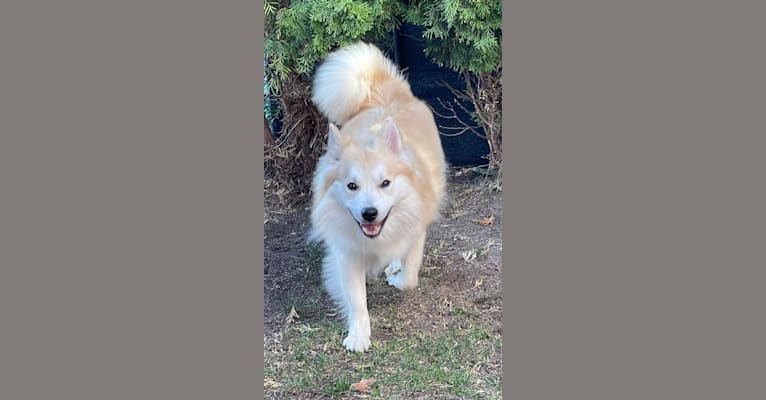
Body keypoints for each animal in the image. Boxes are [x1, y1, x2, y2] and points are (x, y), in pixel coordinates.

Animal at [308, 42, 448, 352]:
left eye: (385, 183)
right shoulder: (347, 254)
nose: (369, 213)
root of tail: (382, 91)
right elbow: (356, 300)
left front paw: (397, 277)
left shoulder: (415, 230)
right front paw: (359, 335)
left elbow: (410, 274)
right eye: (351, 186)